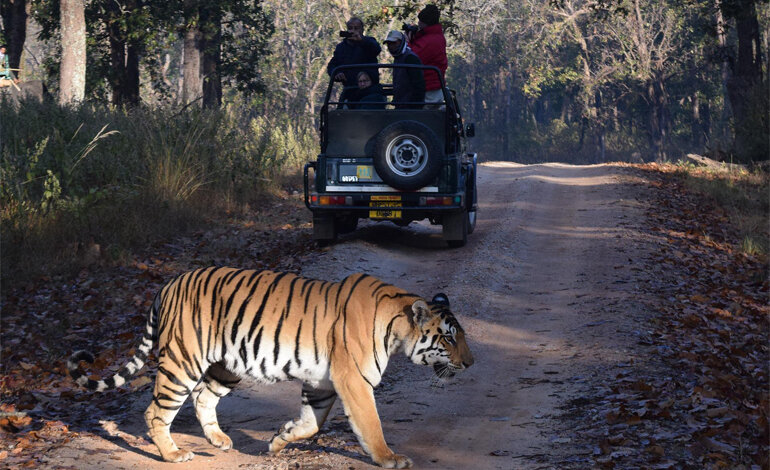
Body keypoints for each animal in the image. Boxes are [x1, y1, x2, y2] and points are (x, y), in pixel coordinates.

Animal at [67, 266, 474, 468]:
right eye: (449, 338)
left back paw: (219, 440)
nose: (470, 363)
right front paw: (390, 458)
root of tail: (168, 284)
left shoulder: (322, 382)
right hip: (183, 361)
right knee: (156, 411)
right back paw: (173, 454)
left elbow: (312, 423)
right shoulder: (354, 381)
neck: (397, 327)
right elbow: (370, 424)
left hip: (225, 366)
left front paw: (279, 440)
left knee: (203, 398)